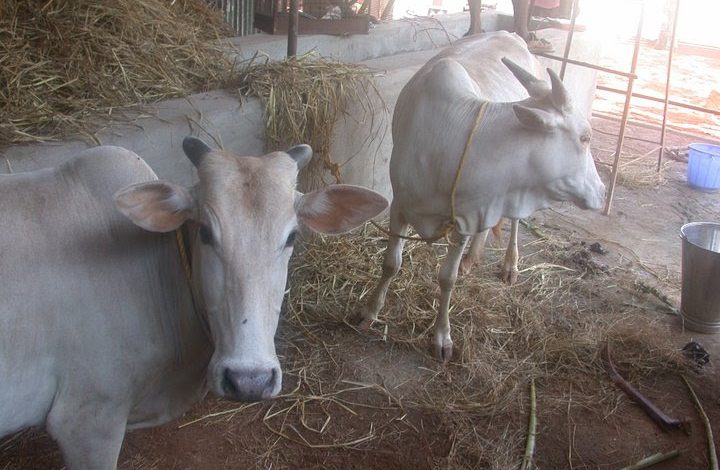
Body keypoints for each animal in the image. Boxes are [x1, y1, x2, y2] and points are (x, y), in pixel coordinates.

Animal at [359, 31, 605, 362]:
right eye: (585, 137)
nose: (601, 191)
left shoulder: (462, 221)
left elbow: (446, 278)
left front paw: (442, 337)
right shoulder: (400, 205)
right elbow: (391, 264)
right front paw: (370, 312)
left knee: (515, 222)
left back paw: (509, 265)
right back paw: (473, 257)